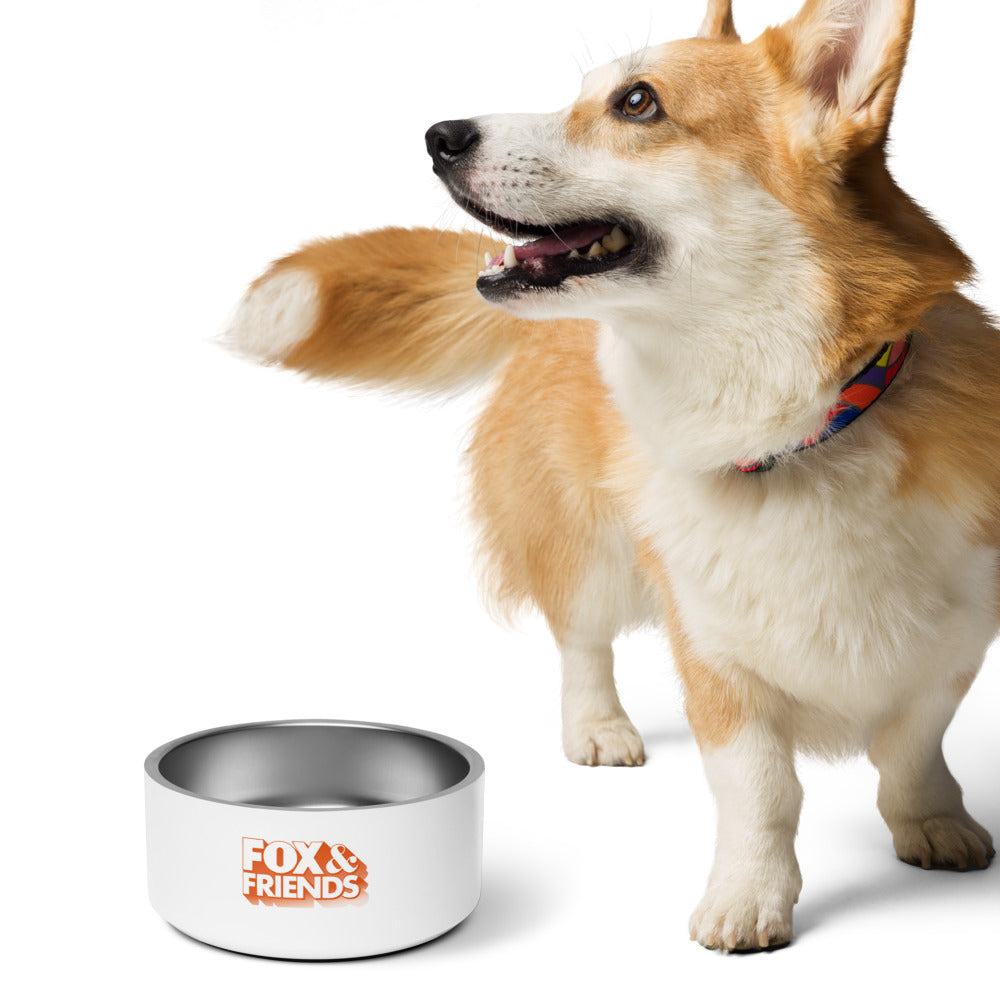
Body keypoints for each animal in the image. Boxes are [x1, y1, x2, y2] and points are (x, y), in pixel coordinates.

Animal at [226, 0, 997, 950]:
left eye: (637, 102)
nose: (438, 136)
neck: (807, 432)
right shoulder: (713, 653)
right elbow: (762, 790)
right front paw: (748, 898)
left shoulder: (955, 644)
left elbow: (912, 746)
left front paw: (932, 822)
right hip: (591, 554)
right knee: (581, 641)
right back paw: (598, 728)